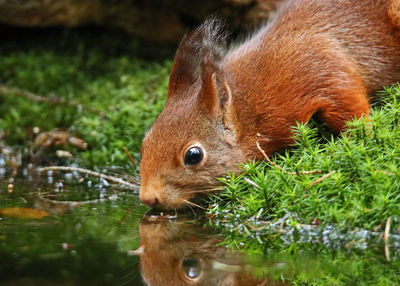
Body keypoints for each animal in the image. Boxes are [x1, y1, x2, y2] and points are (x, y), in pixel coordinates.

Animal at [139, 0, 400, 210]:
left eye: (193, 156)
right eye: (145, 142)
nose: (148, 198)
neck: (249, 108)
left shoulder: (316, 64)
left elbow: (346, 98)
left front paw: (365, 132)